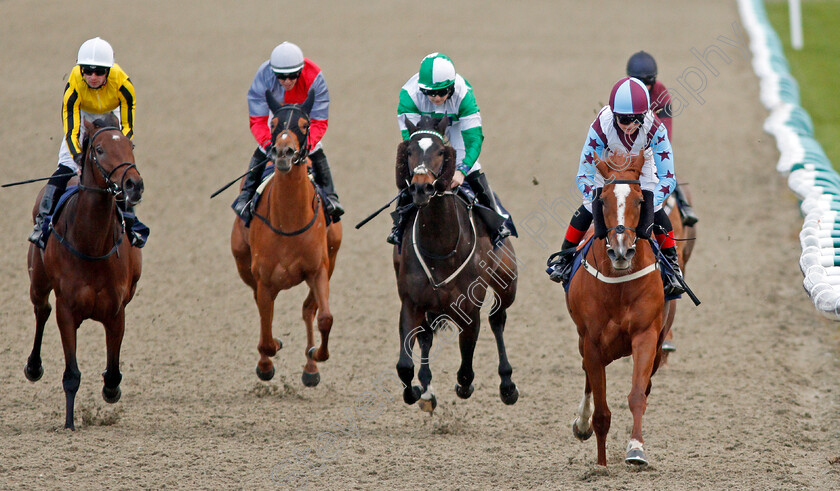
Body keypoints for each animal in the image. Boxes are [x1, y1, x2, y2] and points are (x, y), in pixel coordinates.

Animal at [24, 116, 143, 430]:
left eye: (131, 145)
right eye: (99, 150)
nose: (134, 184)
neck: (90, 243)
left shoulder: (116, 311)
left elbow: (113, 371)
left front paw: (111, 390)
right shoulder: (67, 310)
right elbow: (71, 375)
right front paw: (69, 424)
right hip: (37, 280)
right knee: (41, 309)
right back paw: (33, 366)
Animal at [230, 90, 342, 386]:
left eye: (304, 124)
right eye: (273, 124)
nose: (283, 152)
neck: (290, 220)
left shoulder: (319, 270)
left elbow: (325, 318)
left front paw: (316, 355)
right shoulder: (264, 280)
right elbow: (267, 335)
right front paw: (269, 357)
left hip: (332, 258)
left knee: (308, 309)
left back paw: (311, 368)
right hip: (243, 264)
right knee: (262, 313)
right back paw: (266, 362)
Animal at [394, 117, 520, 414]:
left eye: (441, 151)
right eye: (409, 151)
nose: (421, 188)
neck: (440, 247)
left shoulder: (469, 309)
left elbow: (465, 369)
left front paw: (466, 387)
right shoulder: (411, 303)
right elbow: (404, 364)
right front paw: (416, 391)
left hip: (507, 282)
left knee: (497, 319)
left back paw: (507, 384)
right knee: (427, 335)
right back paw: (426, 388)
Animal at [568, 152, 668, 468]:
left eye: (639, 200)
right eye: (602, 201)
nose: (621, 251)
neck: (619, 285)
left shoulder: (646, 335)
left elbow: (637, 395)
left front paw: (636, 449)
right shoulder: (591, 341)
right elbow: (601, 413)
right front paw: (600, 465)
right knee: (587, 374)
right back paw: (582, 423)